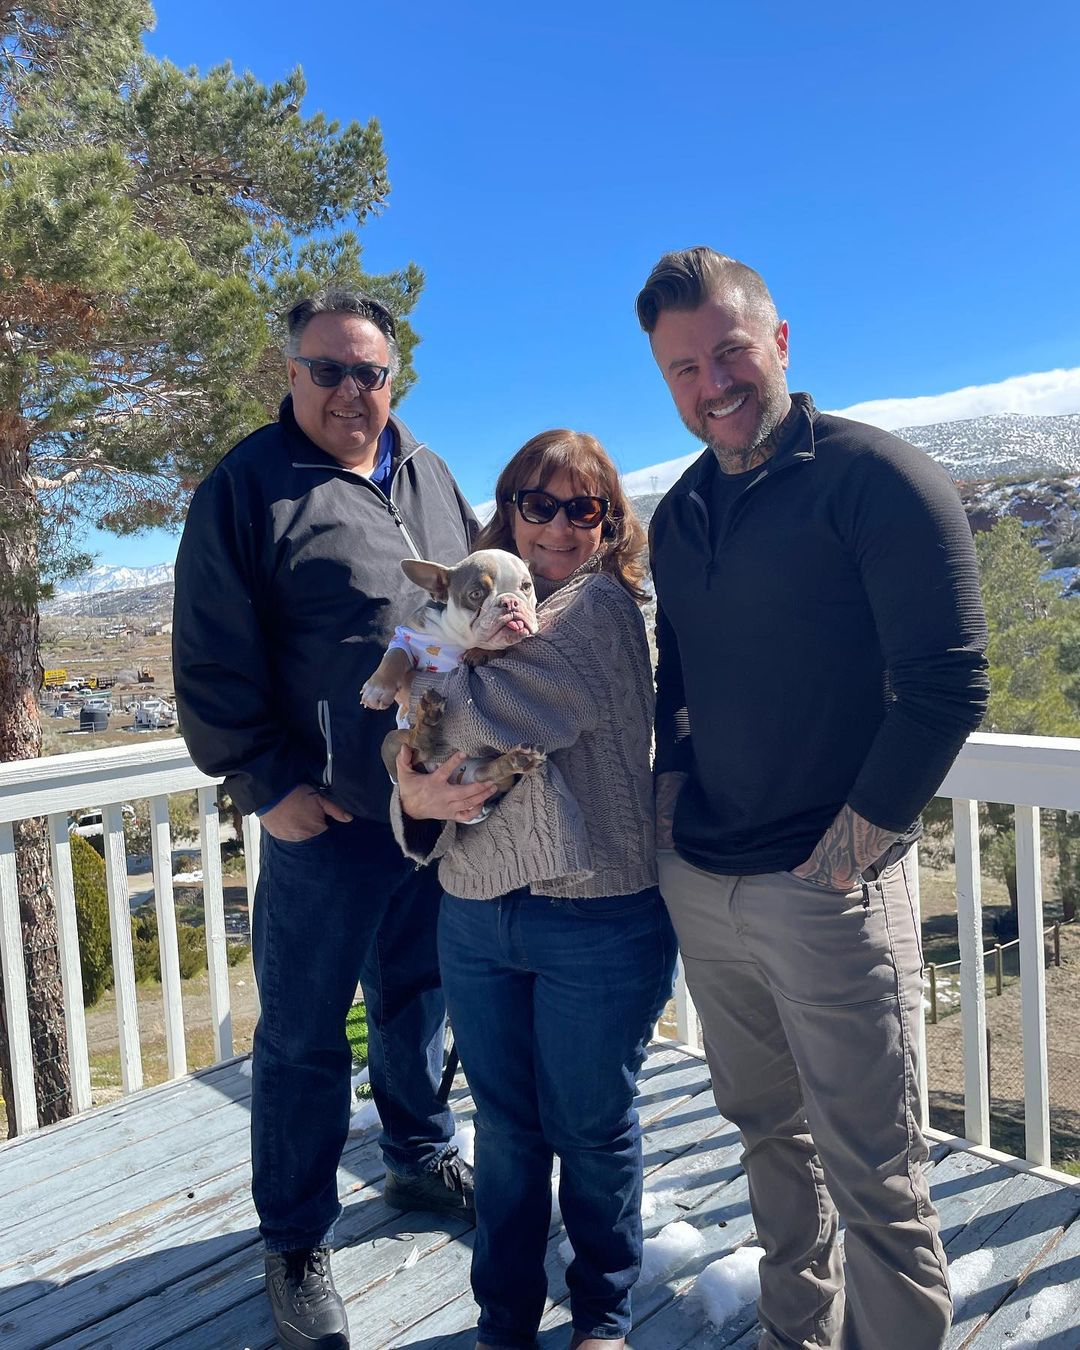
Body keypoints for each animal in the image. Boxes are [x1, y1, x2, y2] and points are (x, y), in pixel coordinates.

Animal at [364, 548, 548, 793]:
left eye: (526, 586)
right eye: (476, 594)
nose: (510, 602)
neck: (459, 637)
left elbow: (498, 648)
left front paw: (480, 652)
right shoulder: (406, 634)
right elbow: (395, 656)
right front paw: (377, 688)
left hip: (483, 775)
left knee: (484, 774)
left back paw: (517, 759)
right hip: (392, 744)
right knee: (414, 748)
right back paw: (426, 722)